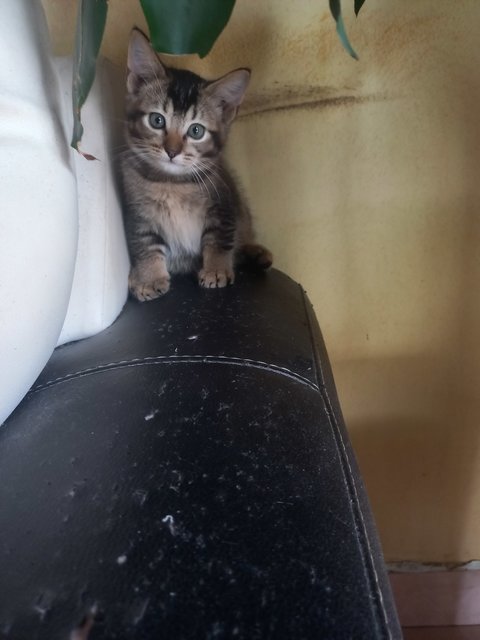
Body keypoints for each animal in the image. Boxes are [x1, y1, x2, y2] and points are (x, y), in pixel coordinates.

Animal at [120, 28, 272, 302]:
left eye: (196, 131)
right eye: (157, 120)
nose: (172, 151)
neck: (172, 183)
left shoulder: (224, 202)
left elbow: (219, 238)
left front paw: (216, 270)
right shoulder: (137, 211)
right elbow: (144, 242)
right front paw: (148, 278)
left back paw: (256, 254)